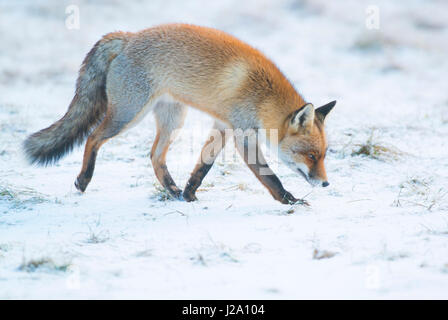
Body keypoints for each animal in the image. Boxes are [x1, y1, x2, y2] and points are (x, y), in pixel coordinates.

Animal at [21, 24, 336, 205]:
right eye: (311, 156)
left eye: (323, 155)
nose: (325, 183)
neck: (262, 96)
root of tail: (127, 37)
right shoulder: (242, 135)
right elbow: (269, 176)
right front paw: (289, 201)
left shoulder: (223, 126)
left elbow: (203, 166)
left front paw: (189, 193)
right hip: (128, 114)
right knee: (93, 138)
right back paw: (84, 179)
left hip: (173, 120)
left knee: (154, 155)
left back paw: (172, 190)